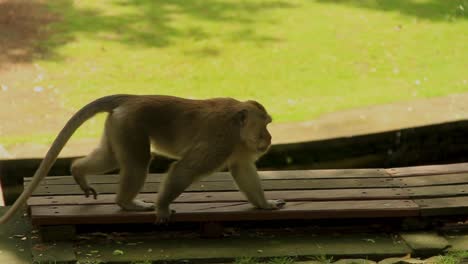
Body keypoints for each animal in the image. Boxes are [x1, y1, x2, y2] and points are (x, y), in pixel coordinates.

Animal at [0, 94, 288, 224]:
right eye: (265, 125)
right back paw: (127, 203)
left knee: (111, 158)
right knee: (138, 162)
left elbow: (242, 168)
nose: (270, 137)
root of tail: (131, 99)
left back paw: (78, 171)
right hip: (130, 126)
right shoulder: (221, 140)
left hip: (117, 125)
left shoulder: (237, 145)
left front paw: (265, 205)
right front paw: (162, 208)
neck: (237, 127)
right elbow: (184, 168)